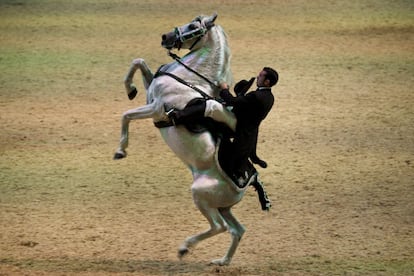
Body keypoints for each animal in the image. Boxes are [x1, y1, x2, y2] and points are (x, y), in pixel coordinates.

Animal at [113, 12, 249, 266]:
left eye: (194, 26)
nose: (165, 37)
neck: (189, 79)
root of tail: (240, 188)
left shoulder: (156, 109)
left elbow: (126, 115)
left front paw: (120, 150)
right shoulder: (150, 94)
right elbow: (138, 62)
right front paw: (130, 89)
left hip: (200, 196)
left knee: (219, 227)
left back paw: (185, 248)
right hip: (222, 207)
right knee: (237, 230)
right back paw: (221, 262)